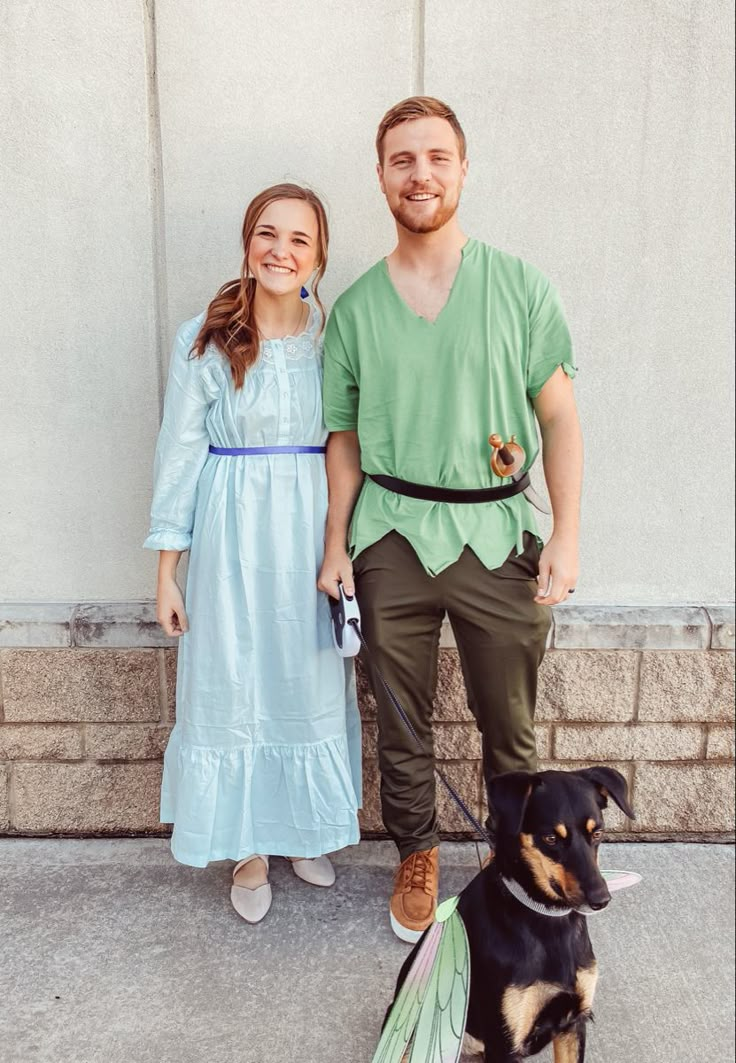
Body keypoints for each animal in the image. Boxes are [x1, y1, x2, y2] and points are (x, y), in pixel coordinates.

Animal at [387, 769, 633, 1058]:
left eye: (597, 833)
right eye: (550, 838)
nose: (601, 899)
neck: (546, 918)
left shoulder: (573, 1023)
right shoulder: (504, 1041)